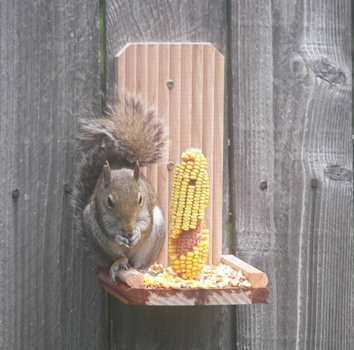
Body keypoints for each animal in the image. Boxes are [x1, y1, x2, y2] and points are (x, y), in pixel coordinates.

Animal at [71, 95, 168, 282]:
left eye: (140, 199)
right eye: (109, 202)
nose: (128, 229)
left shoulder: (147, 208)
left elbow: (146, 224)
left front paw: (137, 232)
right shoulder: (100, 210)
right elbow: (108, 230)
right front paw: (118, 235)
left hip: (153, 240)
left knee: (138, 263)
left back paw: (143, 270)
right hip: (97, 236)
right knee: (119, 257)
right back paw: (119, 263)